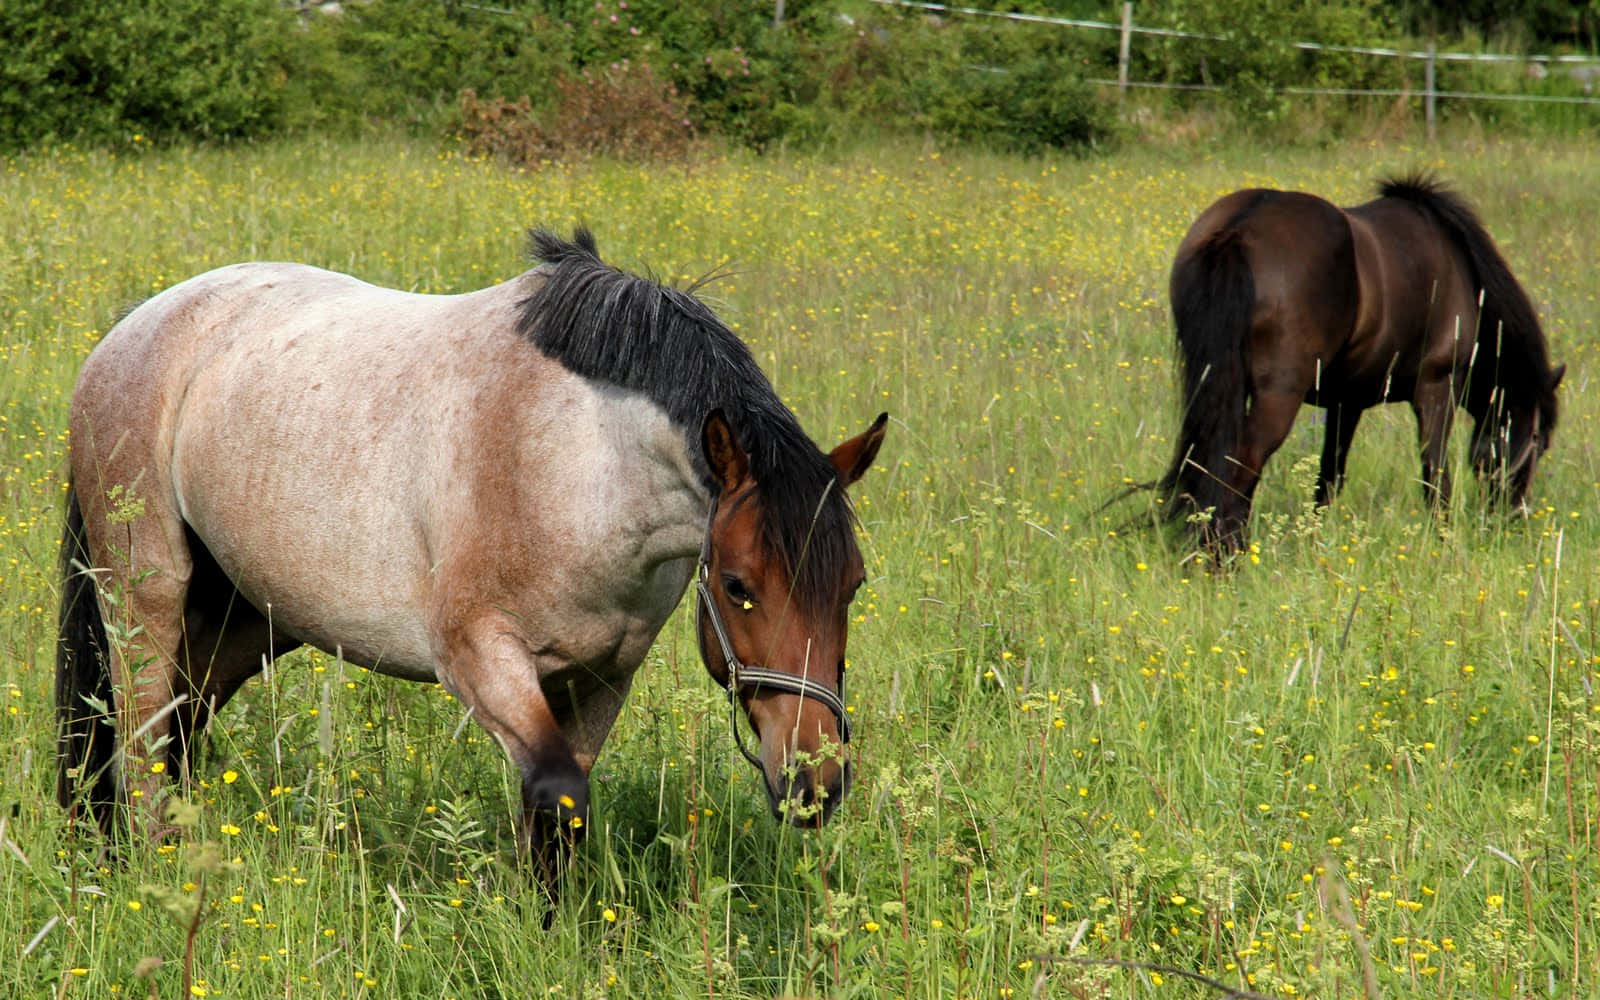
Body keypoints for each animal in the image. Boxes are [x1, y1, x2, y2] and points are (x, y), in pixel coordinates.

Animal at [56, 228, 888, 884]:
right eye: (740, 585)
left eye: (852, 586)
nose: (817, 782)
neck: (578, 460)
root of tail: (132, 331)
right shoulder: (479, 659)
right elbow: (558, 794)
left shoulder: (599, 680)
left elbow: (552, 816)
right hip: (145, 597)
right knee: (137, 736)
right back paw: (153, 876)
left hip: (245, 619)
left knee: (179, 724)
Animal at [1158, 174, 1563, 552]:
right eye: (1539, 441)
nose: (1512, 517)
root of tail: (1238, 229)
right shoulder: (1437, 386)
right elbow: (1435, 475)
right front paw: (1444, 543)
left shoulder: (1345, 402)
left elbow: (1329, 479)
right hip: (1278, 396)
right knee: (1241, 468)